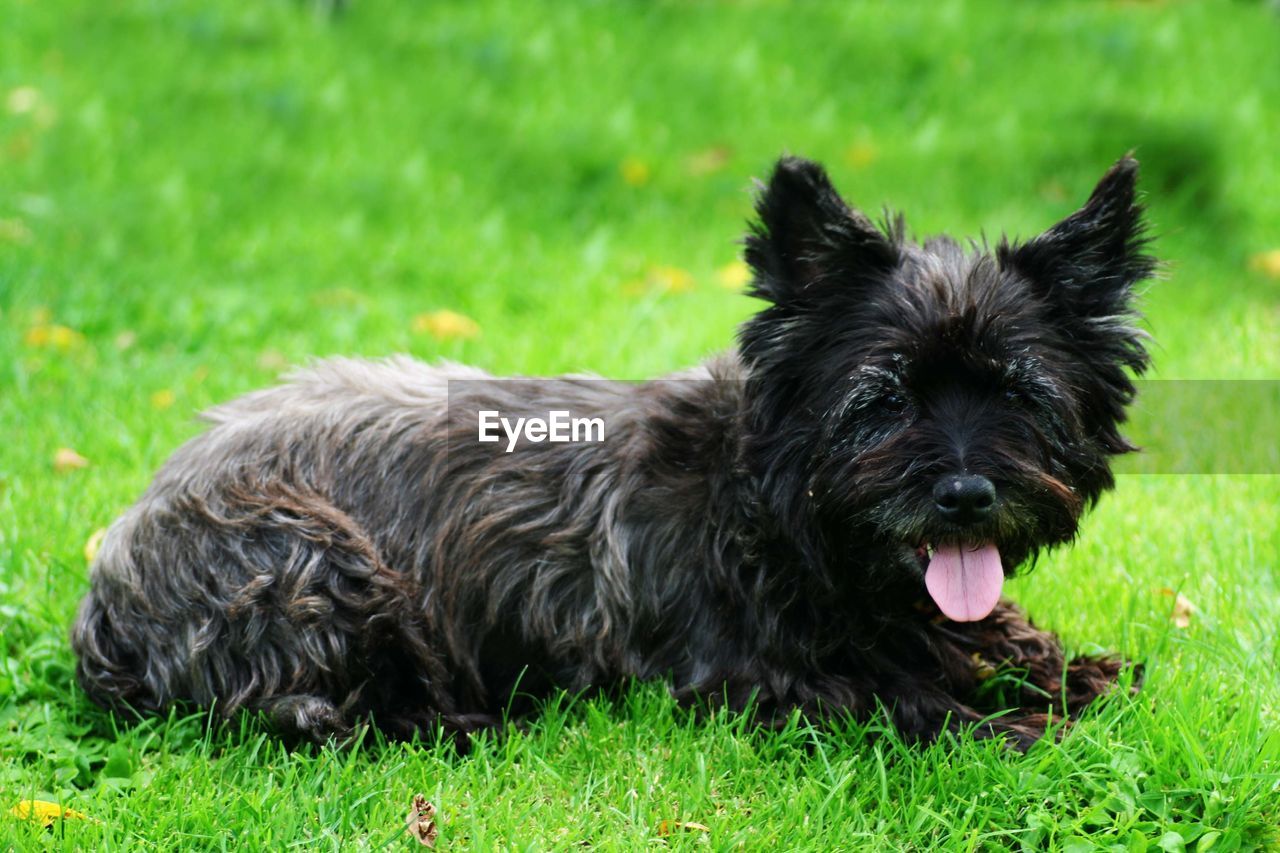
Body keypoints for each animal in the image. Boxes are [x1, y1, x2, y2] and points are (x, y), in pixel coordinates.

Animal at [70, 153, 1157, 742]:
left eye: (1020, 393)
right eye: (882, 400)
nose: (966, 495)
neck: (775, 512)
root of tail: (116, 559)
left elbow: (1011, 645)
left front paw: (1070, 674)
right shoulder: (753, 684)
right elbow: (909, 705)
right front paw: (1023, 723)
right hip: (317, 565)